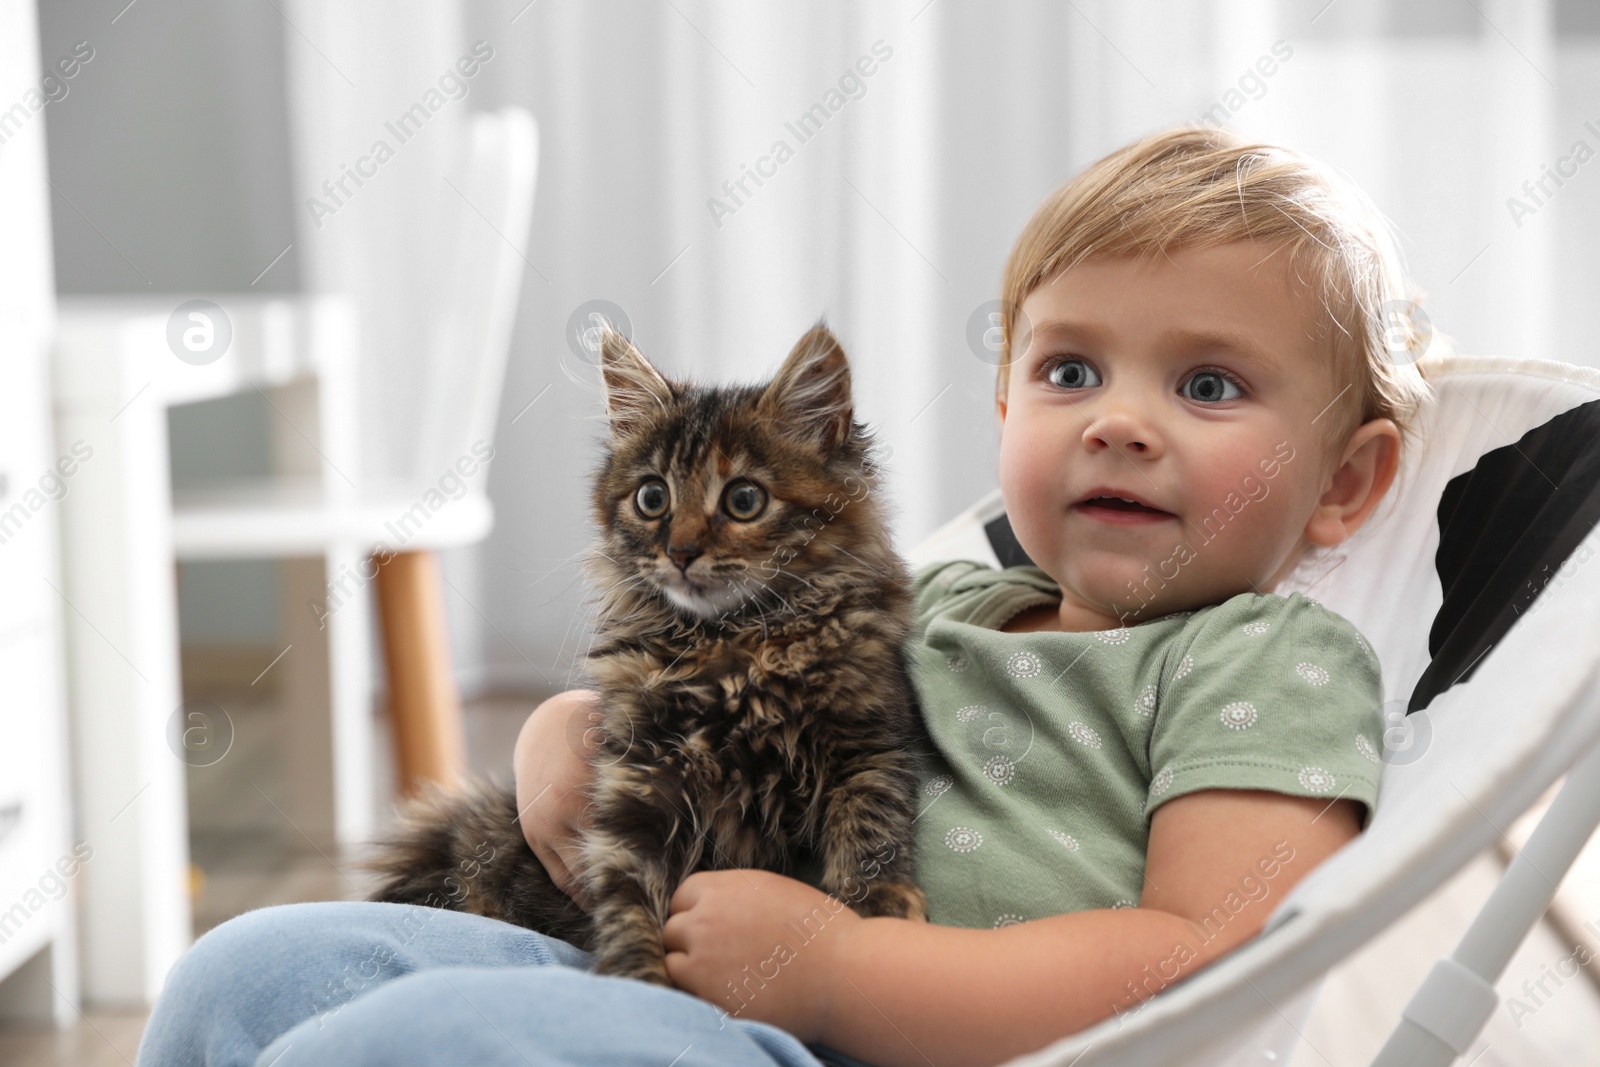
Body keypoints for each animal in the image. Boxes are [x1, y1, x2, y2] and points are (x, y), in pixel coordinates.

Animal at [364, 323, 934, 985]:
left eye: (744, 500)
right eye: (652, 498)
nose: (681, 552)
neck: (733, 647)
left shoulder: (867, 739)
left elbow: (872, 827)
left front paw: (877, 907)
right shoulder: (639, 778)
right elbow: (628, 895)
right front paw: (636, 977)